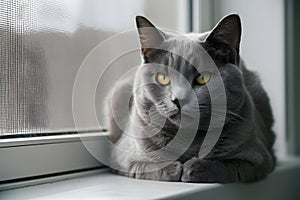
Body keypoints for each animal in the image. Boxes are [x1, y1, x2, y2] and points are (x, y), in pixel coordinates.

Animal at [106, 14, 276, 183]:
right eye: (163, 78)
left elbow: (226, 166)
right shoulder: (121, 157)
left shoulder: (258, 160)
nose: (178, 99)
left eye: (202, 78)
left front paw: (192, 168)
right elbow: (148, 165)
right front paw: (175, 168)